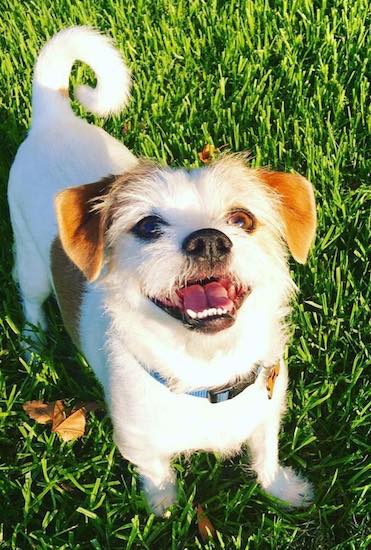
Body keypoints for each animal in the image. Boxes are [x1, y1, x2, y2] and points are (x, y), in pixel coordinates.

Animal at [8, 27, 316, 516]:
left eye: (243, 219)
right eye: (148, 226)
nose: (209, 239)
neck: (207, 374)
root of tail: (54, 118)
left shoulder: (266, 415)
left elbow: (265, 454)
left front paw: (282, 489)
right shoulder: (139, 442)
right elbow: (157, 474)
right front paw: (164, 509)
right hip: (30, 262)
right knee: (33, 302)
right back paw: (35, 345)